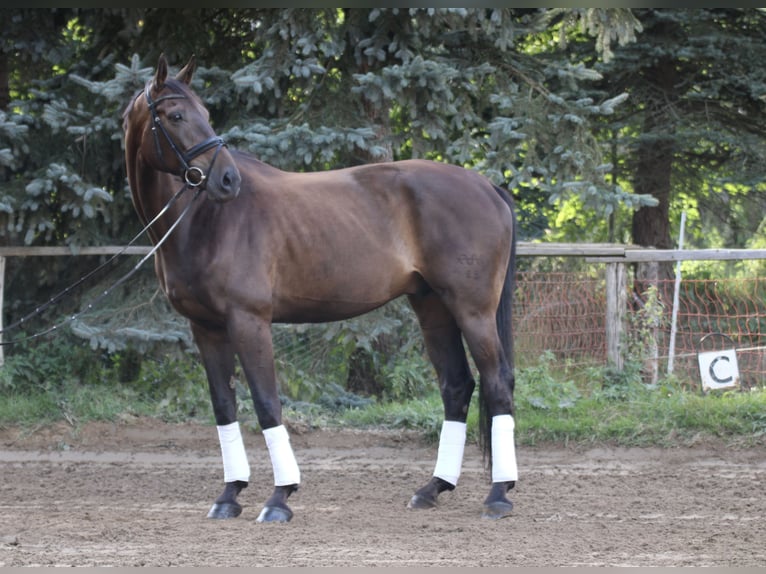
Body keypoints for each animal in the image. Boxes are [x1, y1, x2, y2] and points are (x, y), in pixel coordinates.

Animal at [123, 56, 520, 524]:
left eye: (204, 112)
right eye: (177, 116)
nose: (227, 180)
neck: (203, 220)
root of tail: (487, 186)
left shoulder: (249, 321)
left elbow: (267, 404)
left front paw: (280, 497)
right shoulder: (205, 328)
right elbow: (223, 406)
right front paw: (229, 495)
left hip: (472, 310)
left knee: (498, 382)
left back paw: (498, 494)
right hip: (433, 307)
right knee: (457, 386)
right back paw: (433, 488)